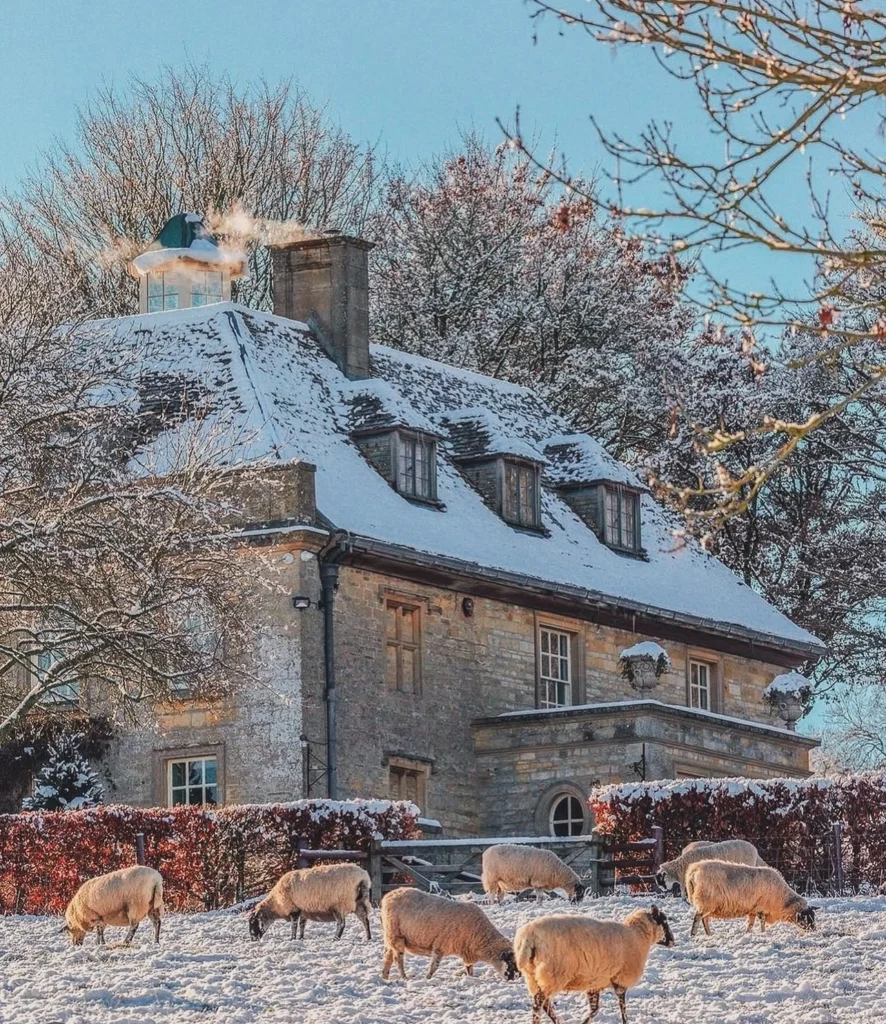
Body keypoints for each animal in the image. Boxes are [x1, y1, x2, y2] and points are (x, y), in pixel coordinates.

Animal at [376, 884, 514, 978]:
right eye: (510, 962)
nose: (513, 979)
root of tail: (387, 897)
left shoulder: (466, 949)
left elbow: (469, 967)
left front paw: (470, 977)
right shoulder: (440, 945)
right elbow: (434, 966)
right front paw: (427, 978)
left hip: (390, 937)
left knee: (388, 956)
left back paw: (385, 977)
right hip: (396, 935)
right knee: (397, 959)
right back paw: (404, 977)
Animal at [512, 905, 671, 1024]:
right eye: (664, 921)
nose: (672, 941)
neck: (638, 936)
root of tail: (528, 937)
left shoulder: (594, 983)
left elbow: (595, 1009)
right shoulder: (620, 979)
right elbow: (622, 1007)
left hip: (532, 975)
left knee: (544, 1003)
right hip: (553, 973)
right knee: (539, 1002)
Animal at [684, 856, 815, 937]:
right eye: (806, 918)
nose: (814, 932)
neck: (782, 898)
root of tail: (693, 871)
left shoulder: (753, 909)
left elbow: (750, 924)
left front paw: (747, 933)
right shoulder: (762, 909)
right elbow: (762, 922)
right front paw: (763, 934)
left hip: (707, 903)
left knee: (704, 919)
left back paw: (709, 934)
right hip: (706, 900)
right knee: (698, 917)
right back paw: (693, 934)